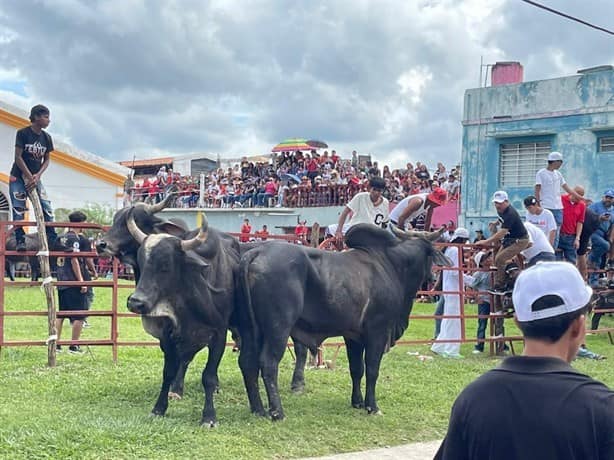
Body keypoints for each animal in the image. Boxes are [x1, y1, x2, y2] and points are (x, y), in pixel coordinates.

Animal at [238, 225, 450, 422]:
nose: (433, 278)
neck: (392, 266)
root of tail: (257, 252)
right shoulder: (378, 332)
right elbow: (372, 370)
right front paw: (372, 406)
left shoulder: (353, 336)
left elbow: (356, 369)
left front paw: (357, 402)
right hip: (278, 328)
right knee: (268, 363)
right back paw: (277, 412)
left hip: (251, 330)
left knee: (247, 362)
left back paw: (258, 409)